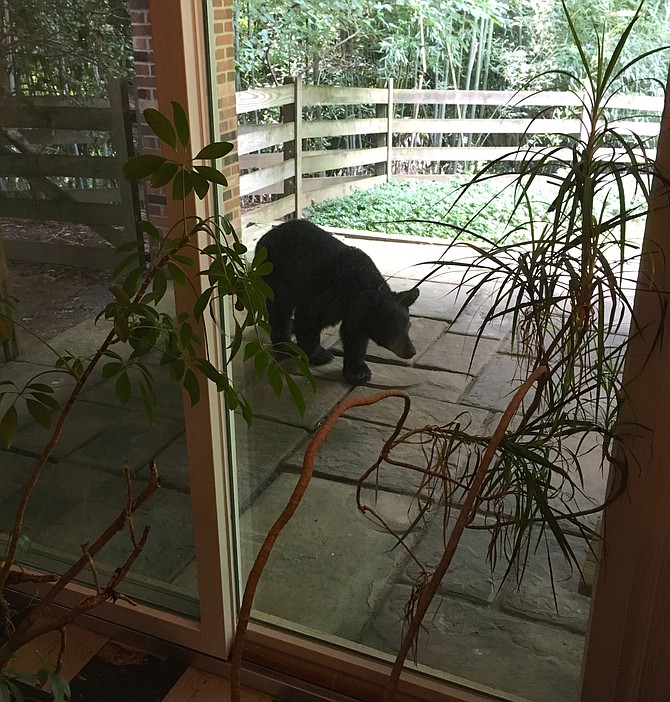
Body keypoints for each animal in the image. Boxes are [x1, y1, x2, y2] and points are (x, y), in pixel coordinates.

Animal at [258, 219, 420, 384]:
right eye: (390, 329)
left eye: (408, 325)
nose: (411, 351)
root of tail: (267, 235)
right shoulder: (327, 293)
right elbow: (310, 317)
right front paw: (319, 354)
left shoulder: (356, 311)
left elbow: (355, 335)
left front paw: (358, 371)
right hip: (274, 272)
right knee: (279, 308)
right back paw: (284, 343)